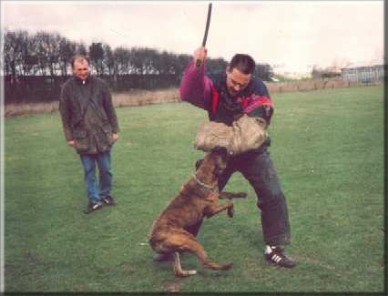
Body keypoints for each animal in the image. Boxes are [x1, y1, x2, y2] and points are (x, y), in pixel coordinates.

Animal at [149, 148, 246, 278]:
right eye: (222, 155)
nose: (220, 146)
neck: (204, 174)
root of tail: (152, 240)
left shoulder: (217, 194)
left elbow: (229, 195)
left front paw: (241, 194)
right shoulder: (211, 210)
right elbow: (229, 203)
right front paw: (231, 212)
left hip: (175, 249)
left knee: (177, 271)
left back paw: (188, 272)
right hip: (190, 240)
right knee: (205, 263)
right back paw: (226, 266)